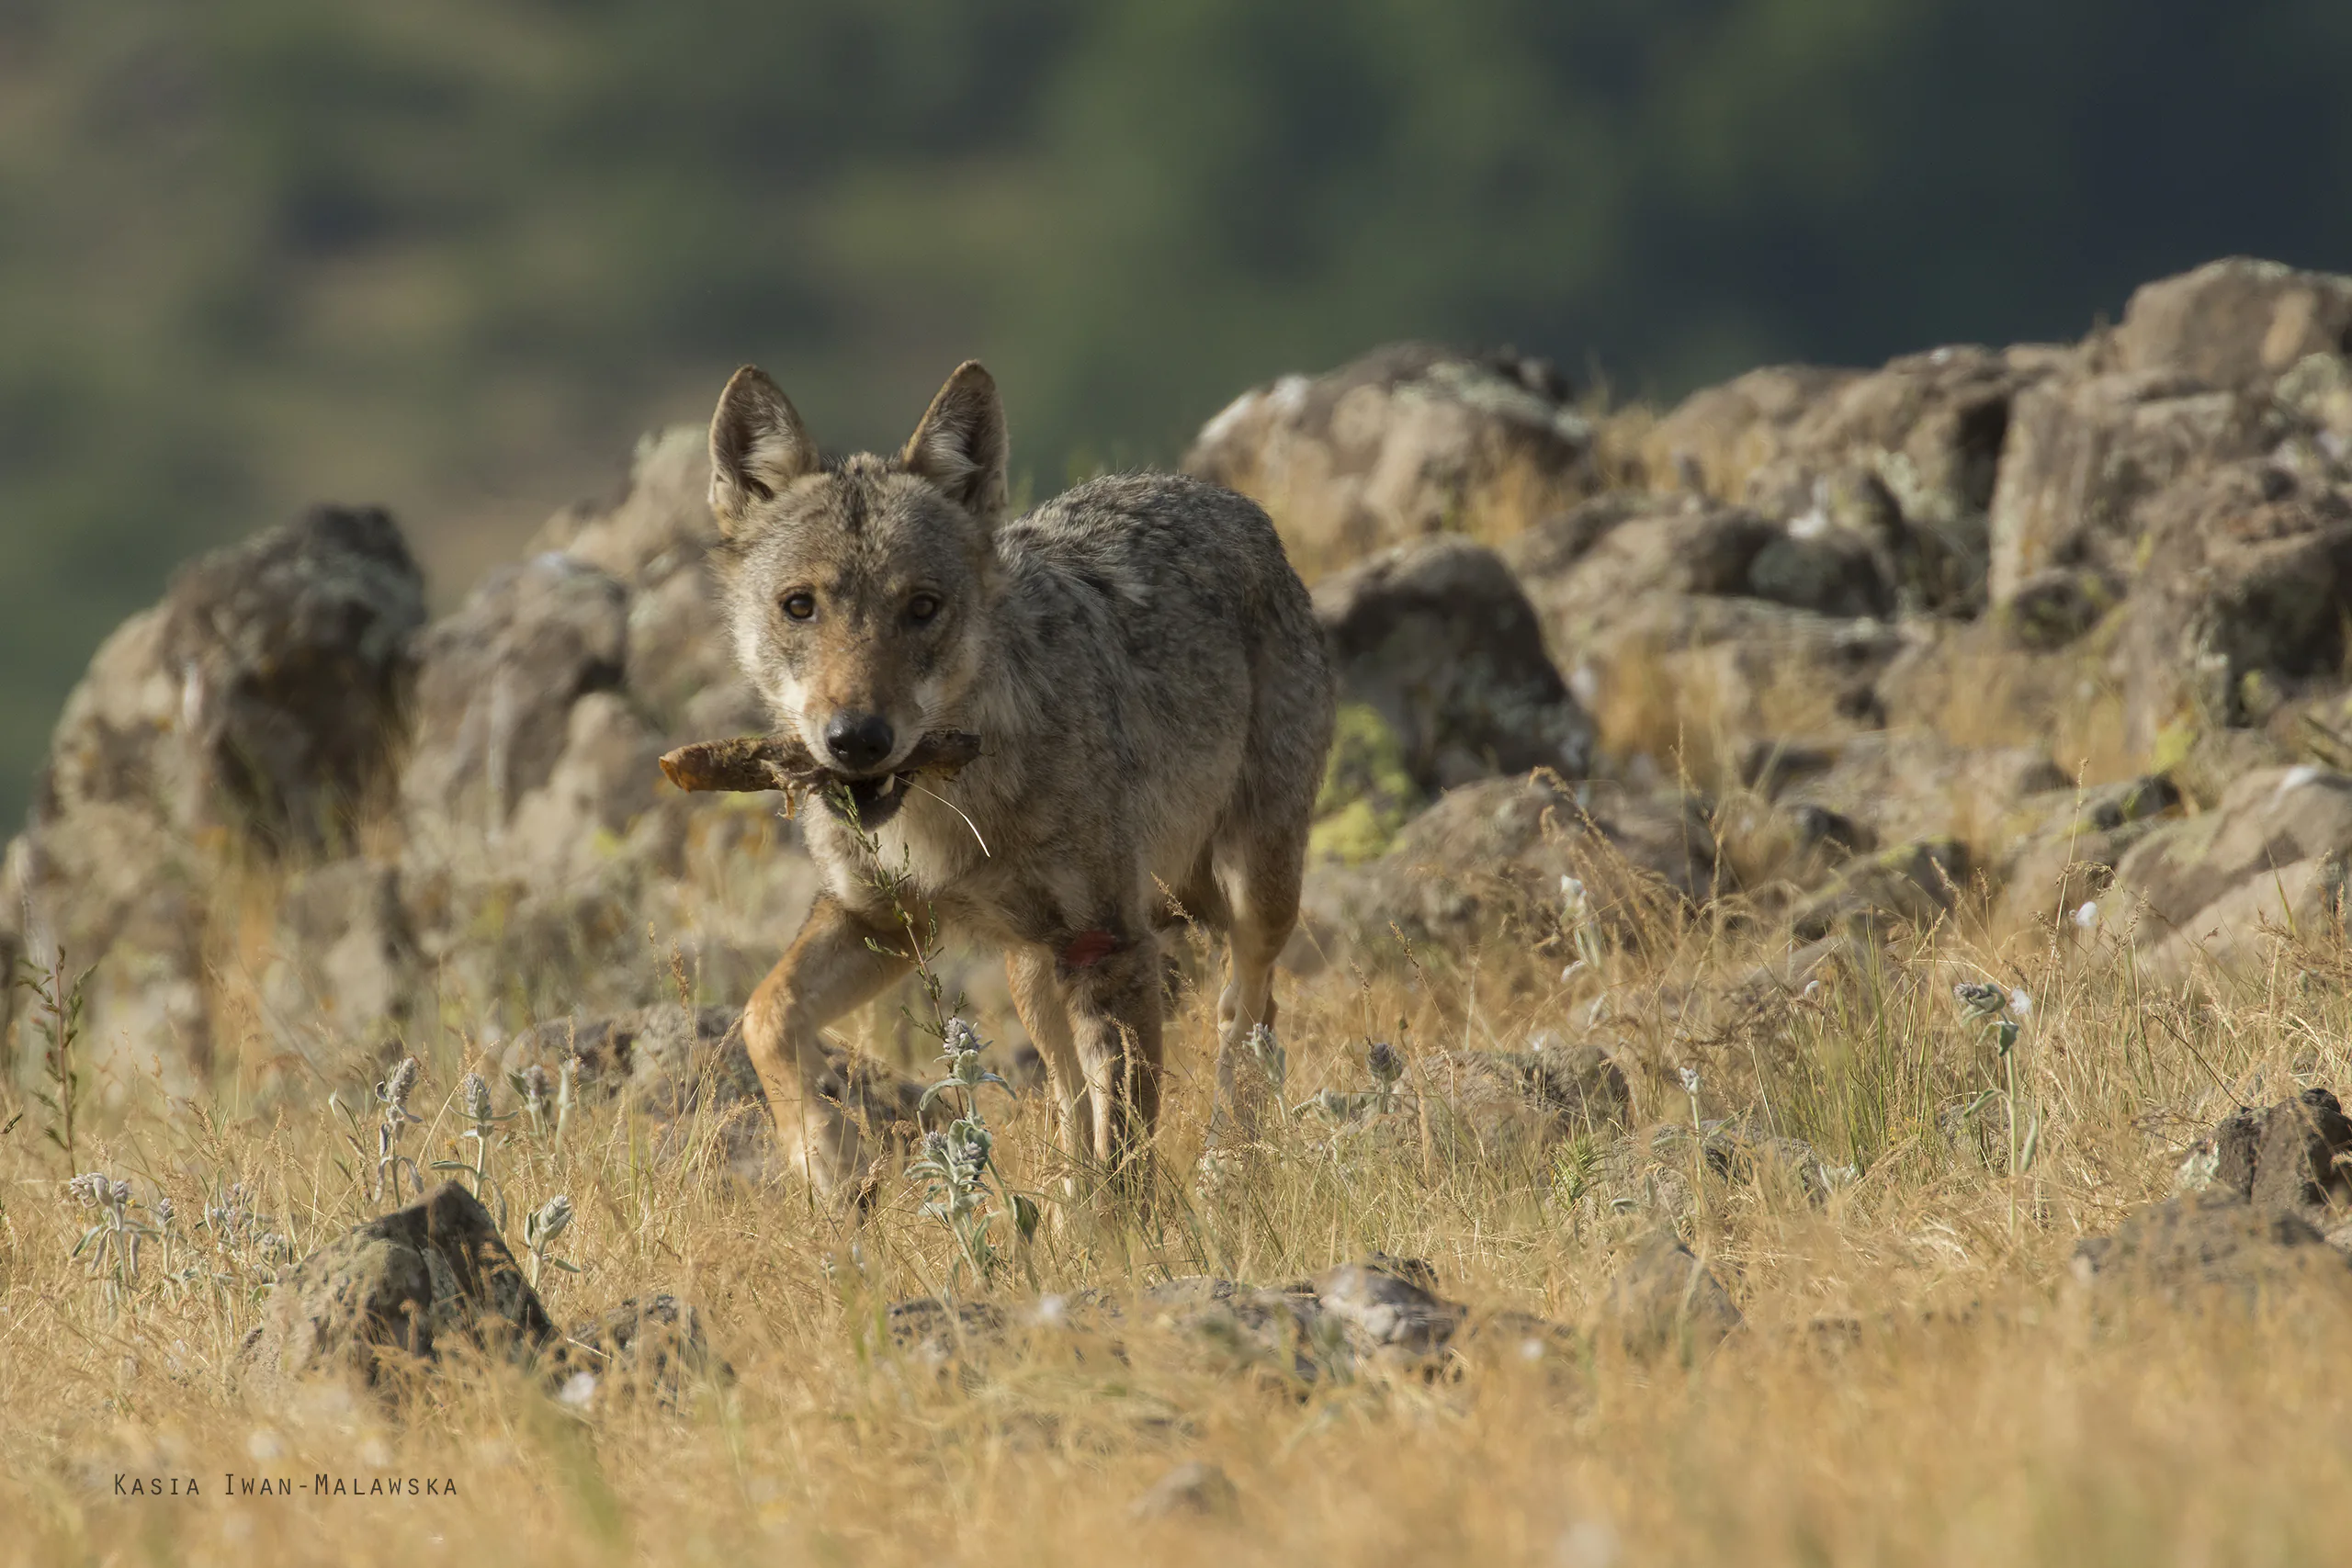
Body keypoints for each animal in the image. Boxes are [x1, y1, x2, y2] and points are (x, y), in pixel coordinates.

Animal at [705, 360, 1336, 1193]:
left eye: (923, 606)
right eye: (799, 605)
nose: (857, 740)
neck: (947, 808)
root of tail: (1229, 502)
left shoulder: (1108, 943)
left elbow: (1128, 1152)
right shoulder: (888, 919)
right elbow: (764, 1014)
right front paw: (831, 1168)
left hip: (1251, 893)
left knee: (1249, 1010)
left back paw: (1227, 1163)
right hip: (1030, 970)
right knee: (1070, 1098)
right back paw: (1072, 1199)